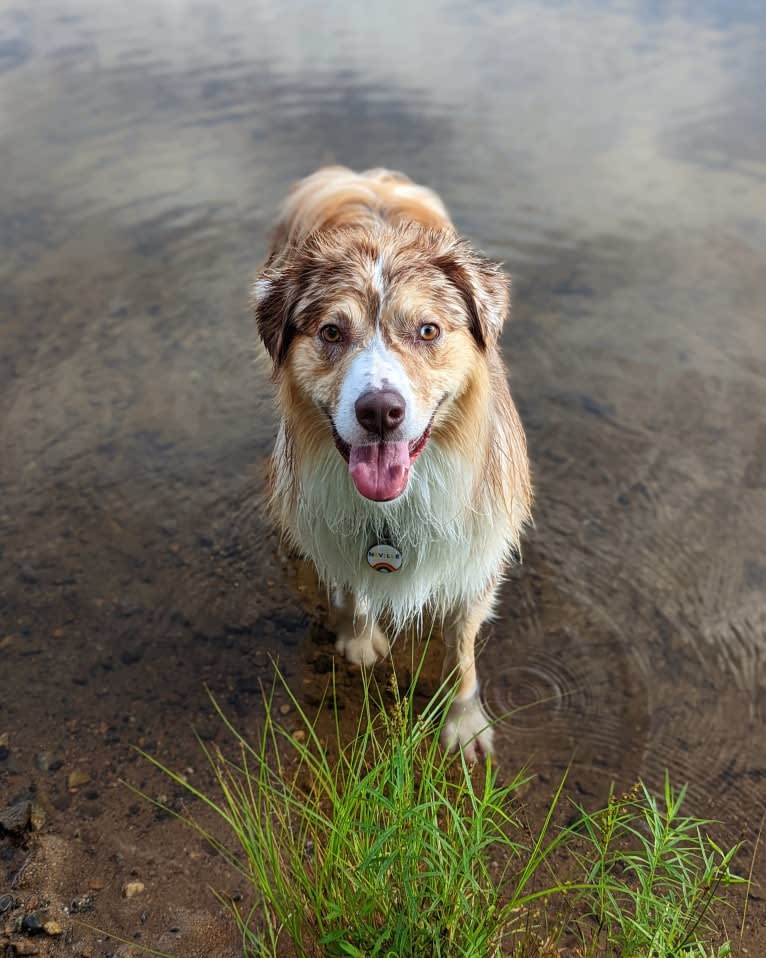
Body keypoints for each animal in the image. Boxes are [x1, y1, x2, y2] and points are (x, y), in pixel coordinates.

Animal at [255, 169, 532, 760]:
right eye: (331, 332)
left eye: (427, 330)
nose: (380, 412)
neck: (395, 507)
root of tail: (367, 184)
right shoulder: (332, 530)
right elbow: (353, 589)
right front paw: (359, 639)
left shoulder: (475, 557)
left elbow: (462, 648)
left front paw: (464, 723)